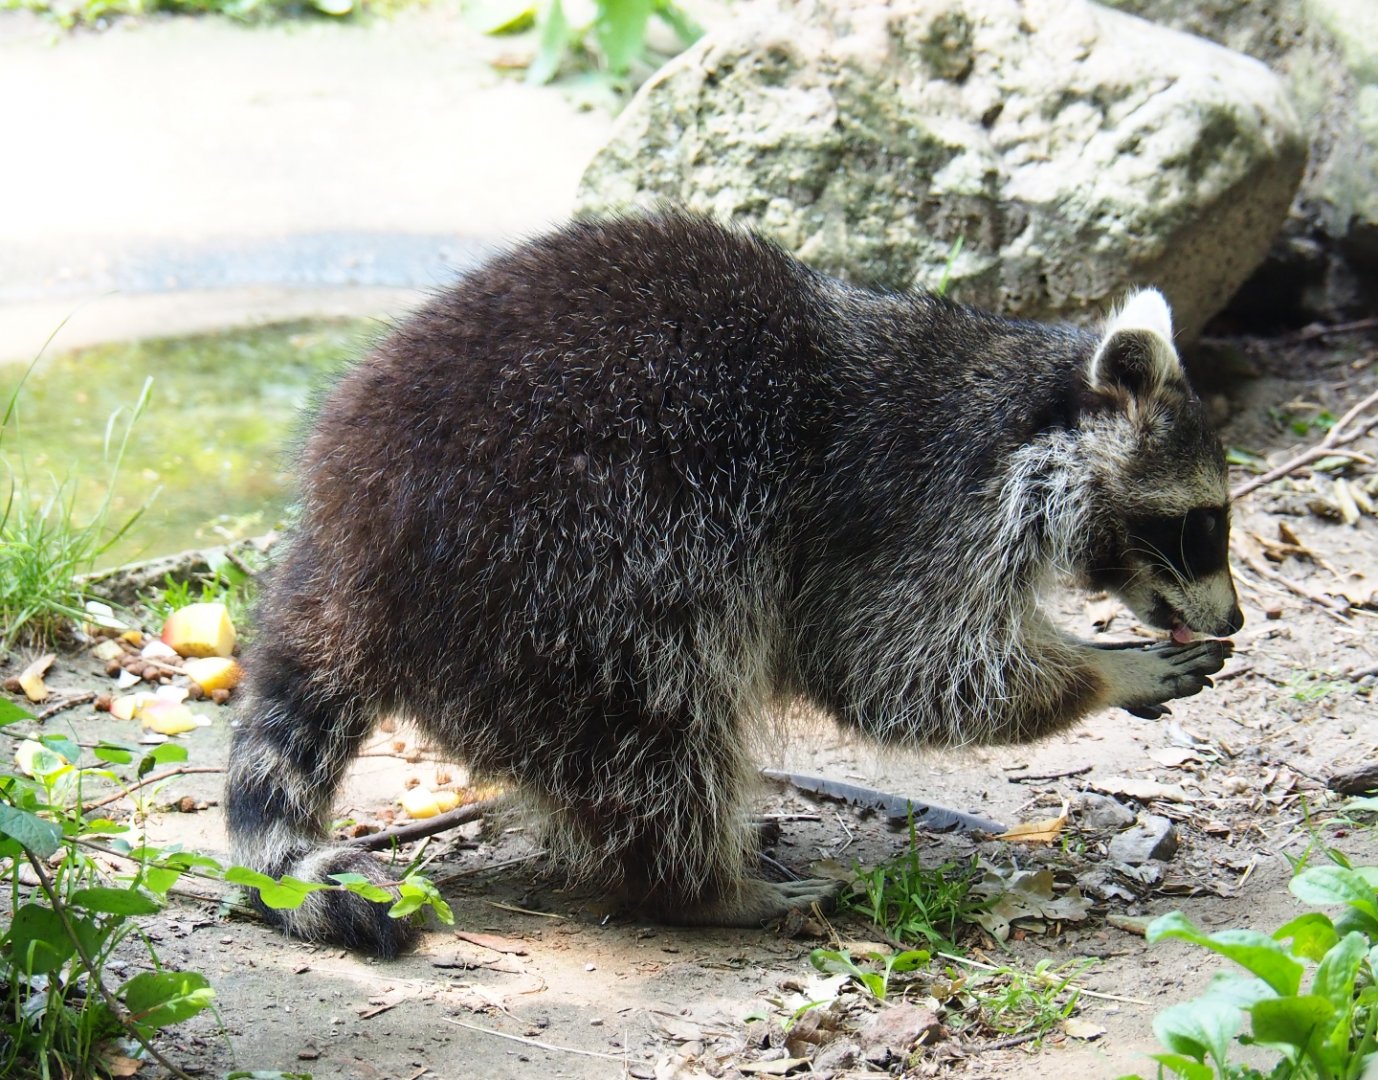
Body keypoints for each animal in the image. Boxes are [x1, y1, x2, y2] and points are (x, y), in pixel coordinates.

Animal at [226, 213, 1242, 957]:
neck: (1024, 404)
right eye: (1203, 526)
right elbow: (897, 667)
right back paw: (701, 887)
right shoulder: (904, 507)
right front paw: (1108, 669)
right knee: (655, 722)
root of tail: (345, 549)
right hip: (570, 566)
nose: (1233, 619)